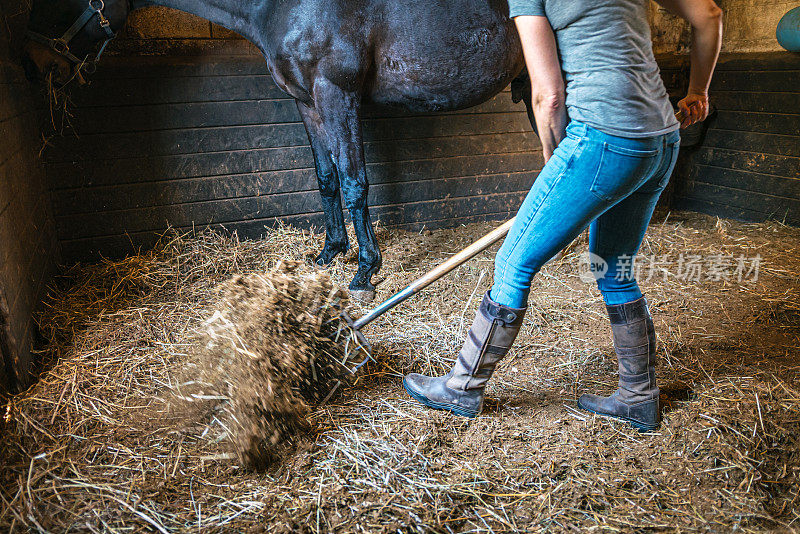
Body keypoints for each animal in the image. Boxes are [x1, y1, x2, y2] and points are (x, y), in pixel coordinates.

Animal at [21, 0, 532, 302]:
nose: (34, 61)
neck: (284, 6)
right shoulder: (306, 101)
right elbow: (325, 178)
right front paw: (329, 253)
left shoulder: (337, 93)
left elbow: (354, 182)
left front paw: (365, 274)